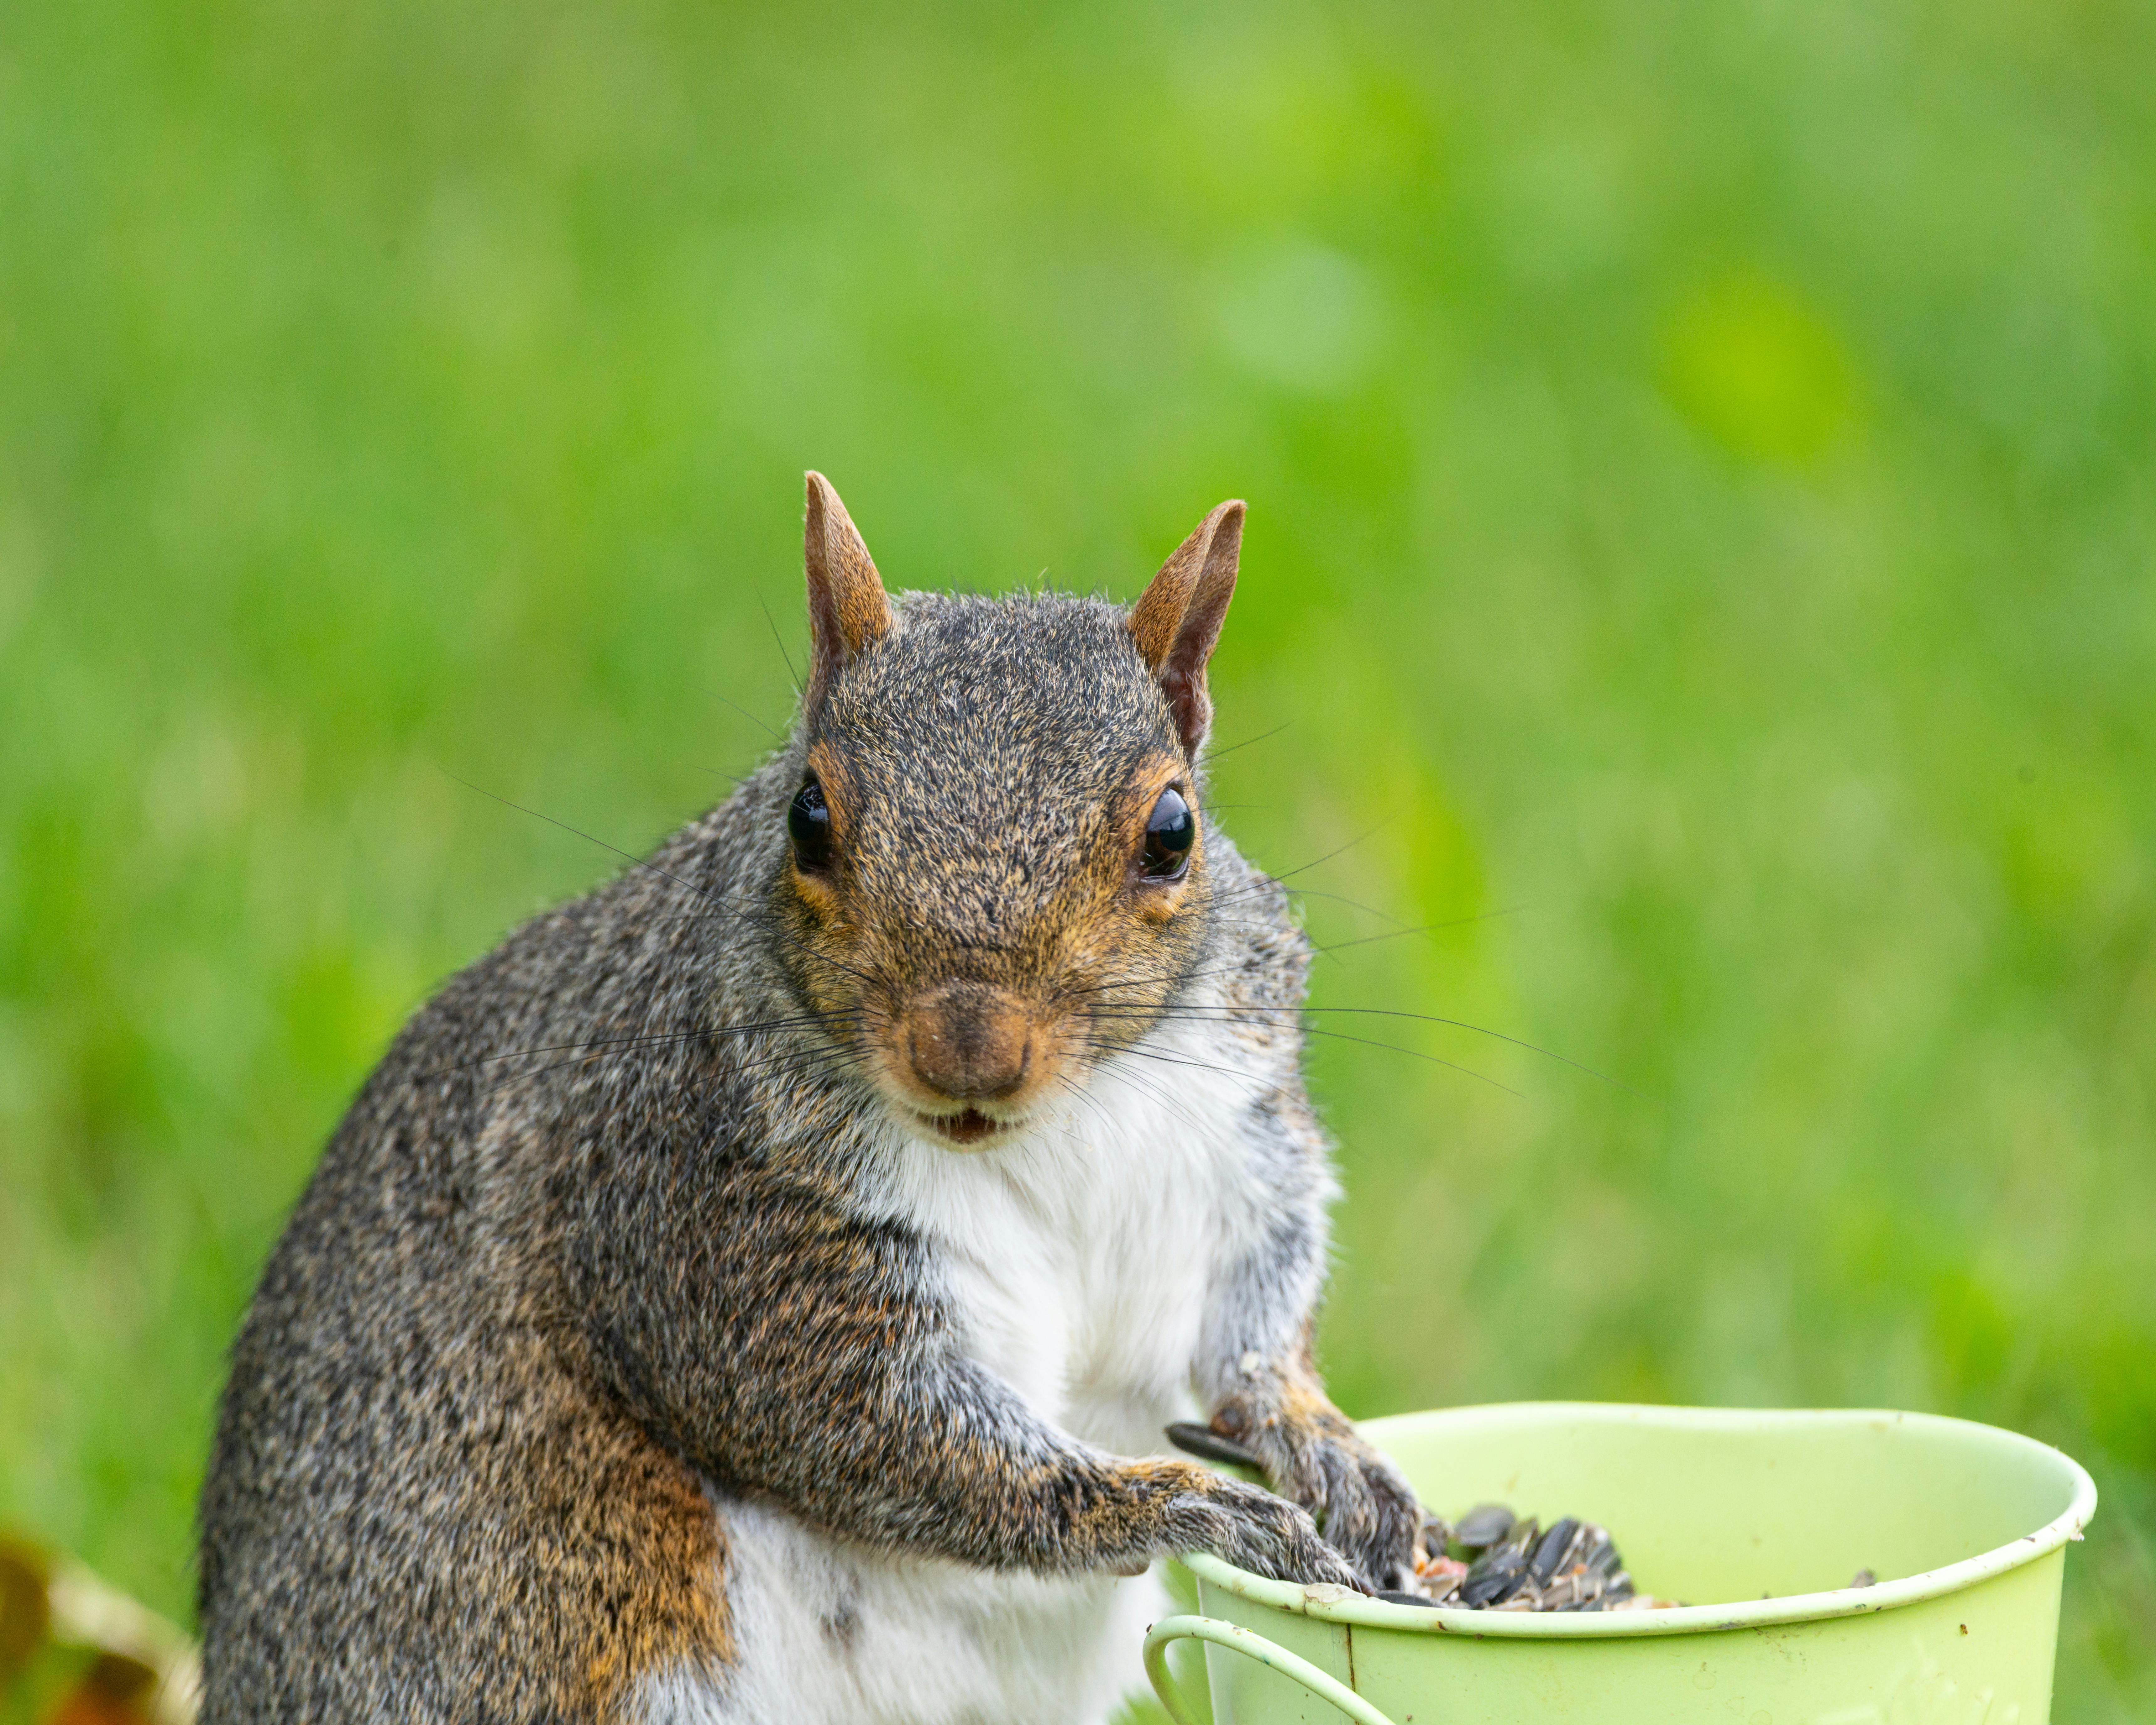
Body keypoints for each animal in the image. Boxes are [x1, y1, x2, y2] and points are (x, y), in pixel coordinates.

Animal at [195, 474, 1421, 1723]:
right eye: (808, 818)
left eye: (1172, 833)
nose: (967, 1052)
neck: (1061, 1125)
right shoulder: (698, 1217)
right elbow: (887, 1438)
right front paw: (1174, 1500)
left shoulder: (1239, 1131)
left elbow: (1250, 1312)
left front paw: (1313, 1432)